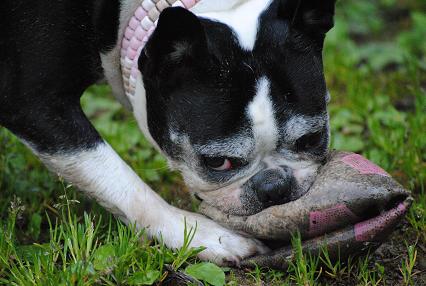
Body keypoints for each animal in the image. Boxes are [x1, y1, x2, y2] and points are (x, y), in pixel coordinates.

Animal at [0, 0, 336, 264]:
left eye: (313, 138)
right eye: (218, 162)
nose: (273, 186)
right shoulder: (36, 104)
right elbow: (118, 180)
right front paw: (200, 233)